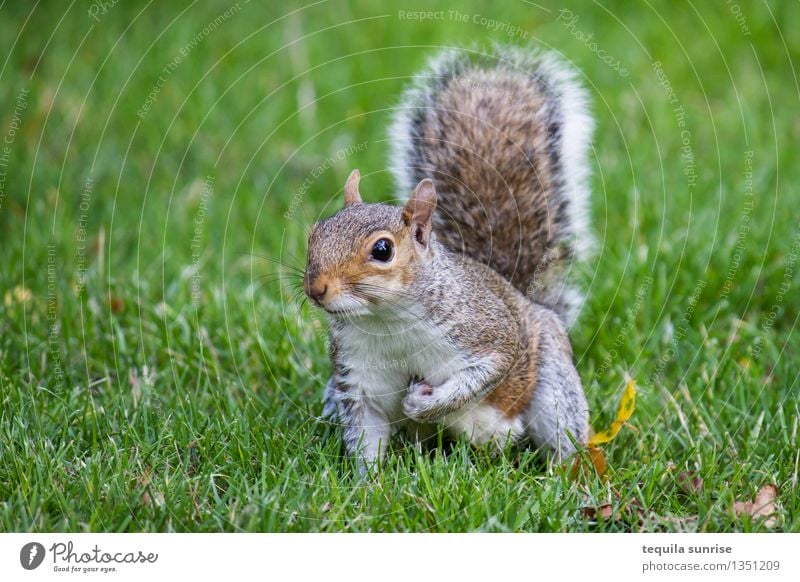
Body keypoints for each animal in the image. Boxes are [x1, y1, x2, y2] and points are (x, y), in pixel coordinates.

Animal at [304, 46, 592, 474]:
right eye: (315, 234)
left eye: (382, 250)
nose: (316, 288)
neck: (387, 320)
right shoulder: (358, 378)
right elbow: (366, 435)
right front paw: (366, 483)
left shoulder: (488, 335)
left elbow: (483, 374)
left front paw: (424, 405)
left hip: (551, 380)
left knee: (561, 428)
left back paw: (564, 472)